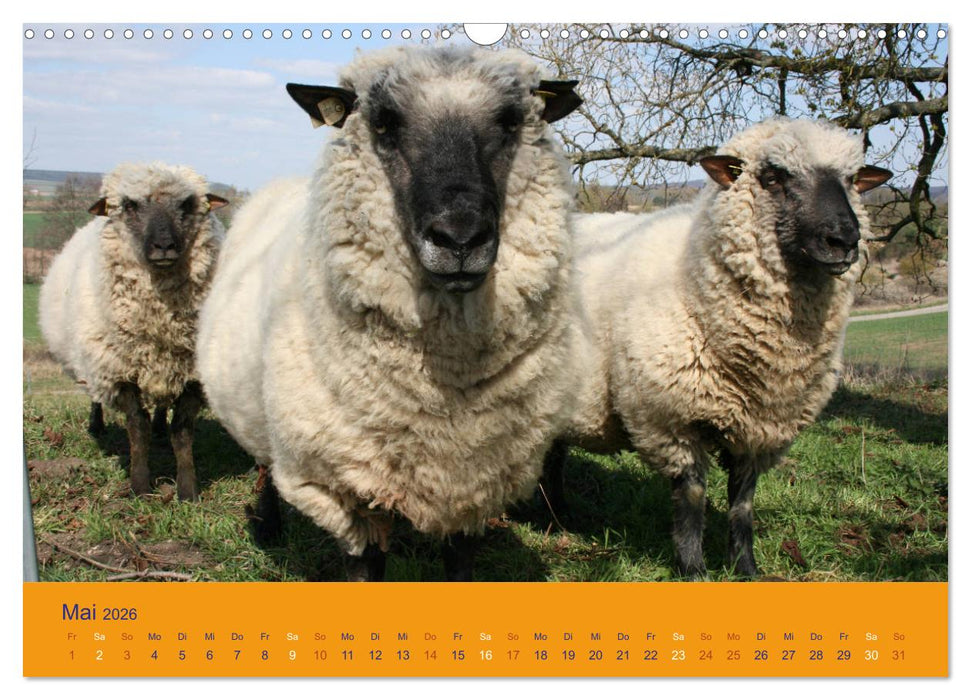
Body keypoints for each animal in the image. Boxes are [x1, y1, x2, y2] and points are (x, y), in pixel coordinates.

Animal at [39, 162, 228, 501]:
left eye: (188, 204)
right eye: (129, 205)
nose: (164, 246)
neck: (161, 319)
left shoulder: (193, 375)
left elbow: (182, 431)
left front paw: (188, 490)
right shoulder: (118, 371)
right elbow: (137, 428)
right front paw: (140, 486)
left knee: (162, 404)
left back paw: (160, 429)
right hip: (93, 358)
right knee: (96, 396)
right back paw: (96, 425)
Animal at [196, 46, 582, 581]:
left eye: (510, 121)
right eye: (383, 123)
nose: (459, 238)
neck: (445, 388)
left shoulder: (473, 482)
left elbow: (460, 566)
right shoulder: (347, 489)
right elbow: (366, 567)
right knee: (265, 466)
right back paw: (270, 526)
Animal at [545, 118, 892, 579]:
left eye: (852, 180)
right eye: (772, 177)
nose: (843, 240)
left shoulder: (760, 429)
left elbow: (742, 504)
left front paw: (746, 568)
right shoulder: (669, 418)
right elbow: (692, 499)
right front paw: (693, 570)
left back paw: (557, 517)